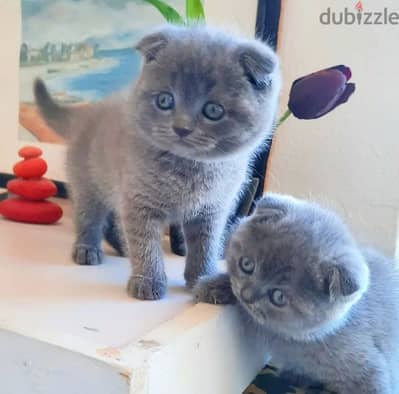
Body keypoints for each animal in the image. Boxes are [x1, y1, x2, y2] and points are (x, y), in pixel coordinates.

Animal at [33, 25, 282, 302]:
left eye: (213, 110)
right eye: (165, 100)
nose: (181, 128)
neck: (189, 169)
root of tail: (85, 113)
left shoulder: (212, 209)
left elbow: (206, 246)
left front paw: (204, 280)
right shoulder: (139, 200)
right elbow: (145, 243)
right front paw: (148, 281)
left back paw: (121, 247)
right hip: (88, 182)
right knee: (89, 216)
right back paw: (87, 249)